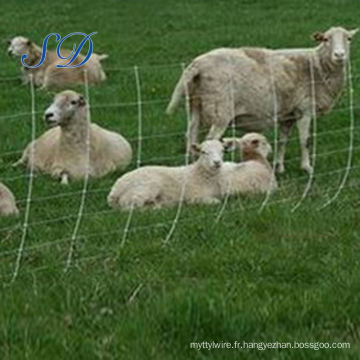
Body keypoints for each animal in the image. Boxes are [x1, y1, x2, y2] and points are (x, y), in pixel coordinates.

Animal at [167, 26, 358, 174]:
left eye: (349, 39)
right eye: (326, 39)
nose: (339, 55)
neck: (316, 66)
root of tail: (197, 64)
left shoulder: (288, 114)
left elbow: (282, 141)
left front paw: (279, 167)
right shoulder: (305, 110)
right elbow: (306, 140)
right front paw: (307, 168)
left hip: (195, 105)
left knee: (191, 136)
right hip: (220, 110)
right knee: (210, 139)